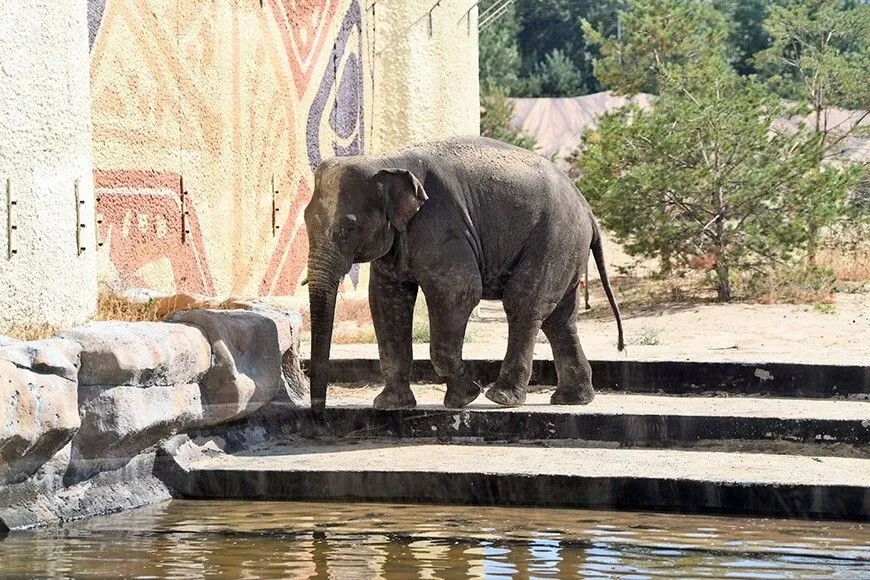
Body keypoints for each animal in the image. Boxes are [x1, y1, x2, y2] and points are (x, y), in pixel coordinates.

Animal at [304, 136, 624, 416]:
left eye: (348, 228)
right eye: (305, 220)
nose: (319, 414)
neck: (385, 160)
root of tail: (587, 209)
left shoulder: (441, 227)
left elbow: (458, 293)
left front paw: (464, 398)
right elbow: (386, 301)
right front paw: (389, 406)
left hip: (554, 239)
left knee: (524, 304)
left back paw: (502, 397)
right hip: (567, 248)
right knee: (560, 318)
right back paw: (572, 399)